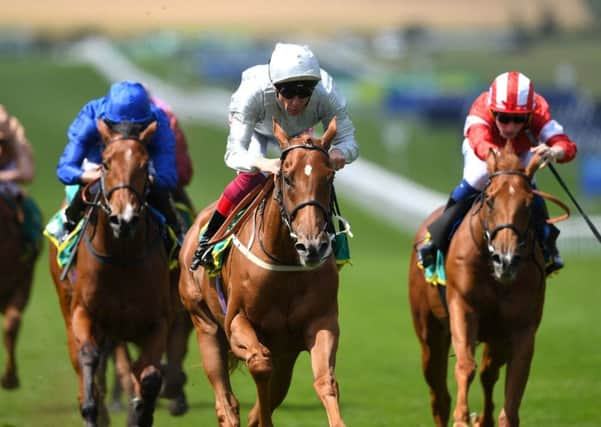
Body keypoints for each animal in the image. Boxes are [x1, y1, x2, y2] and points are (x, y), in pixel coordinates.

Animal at [48, 120, 171, 427]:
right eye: (105, 163)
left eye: (145, 164)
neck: (121, 258)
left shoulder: (157, 322)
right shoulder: (83, 313)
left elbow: (149, 376)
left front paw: (141, 411)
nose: (123, 219)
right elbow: (89, 359)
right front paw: (93, 411)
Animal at [178, 118, 344, 427]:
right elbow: (259, 363)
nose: (312, 246)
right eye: (287, 178)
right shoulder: (236, 321)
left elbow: (325, 381)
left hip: (286, 354)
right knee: (226, 403)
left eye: (328, 177)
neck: (285, 263)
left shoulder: (321, 322)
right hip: (205, 325)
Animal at [406, 144, 564, 427]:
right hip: (429, 333)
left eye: (528, 204)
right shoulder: (463, 307)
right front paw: (462, 418)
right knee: (439, 392)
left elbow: (516, 377)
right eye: (490, 200)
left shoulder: (521, 326)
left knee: (489, 373)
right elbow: (466, 365)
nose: (506, 259)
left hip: (496, 336)